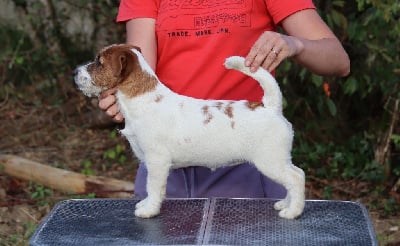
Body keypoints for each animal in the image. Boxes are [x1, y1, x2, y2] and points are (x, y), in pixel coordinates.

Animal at [73, 43, 304, 219]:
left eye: (99, 62)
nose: (74, 72)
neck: (142, 98)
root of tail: (270, 106)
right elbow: (152, 188)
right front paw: (146, 204)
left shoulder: (157, 162)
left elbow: (153, 187)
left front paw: (149, 210)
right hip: (278, 160)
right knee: (295, 175)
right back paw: (285, 204)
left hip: (270, 161)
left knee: (296, 178)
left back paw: (292, 212)